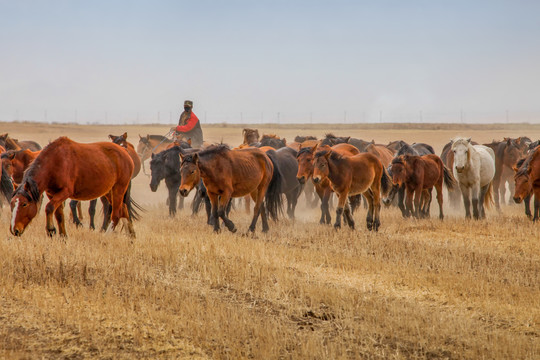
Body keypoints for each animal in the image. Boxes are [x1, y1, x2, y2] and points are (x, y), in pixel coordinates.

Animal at [10, 137, 139, 236]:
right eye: (12, 204)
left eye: (24, 204)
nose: (14, 230)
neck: (54, 162)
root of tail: (125, 152)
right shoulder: (51, 193)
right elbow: (59, 215)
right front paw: (63, 237)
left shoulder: (65, 192)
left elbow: (49, 207)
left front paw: (51, 229)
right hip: (109, 191)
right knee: (124, 209)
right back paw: (131, 236)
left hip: (119, 188)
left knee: (116, 214)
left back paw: (106, 236)